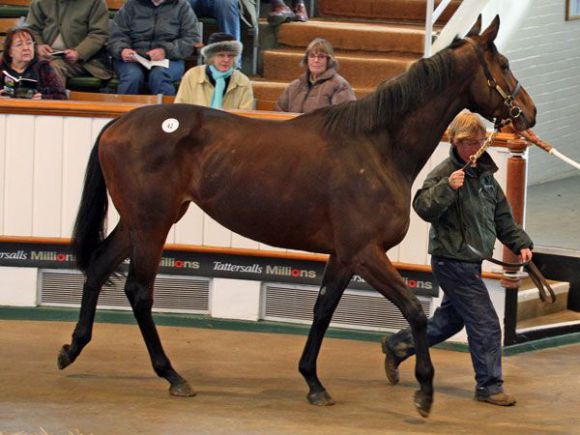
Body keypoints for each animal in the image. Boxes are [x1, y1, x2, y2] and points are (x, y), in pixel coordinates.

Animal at [57, 15, 536, 418]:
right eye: (504, 63)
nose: (529, 114)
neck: (376, 146)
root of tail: (117, 123)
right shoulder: (365, 252)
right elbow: (414, 310)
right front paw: (424, 391)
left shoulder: (344, 256)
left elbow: (323, 309)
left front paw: (313, 382)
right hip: (152, 225)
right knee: (138, 290)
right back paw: (172, 375)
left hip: (140, 222)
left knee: (99, 266)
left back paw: (73, 349)